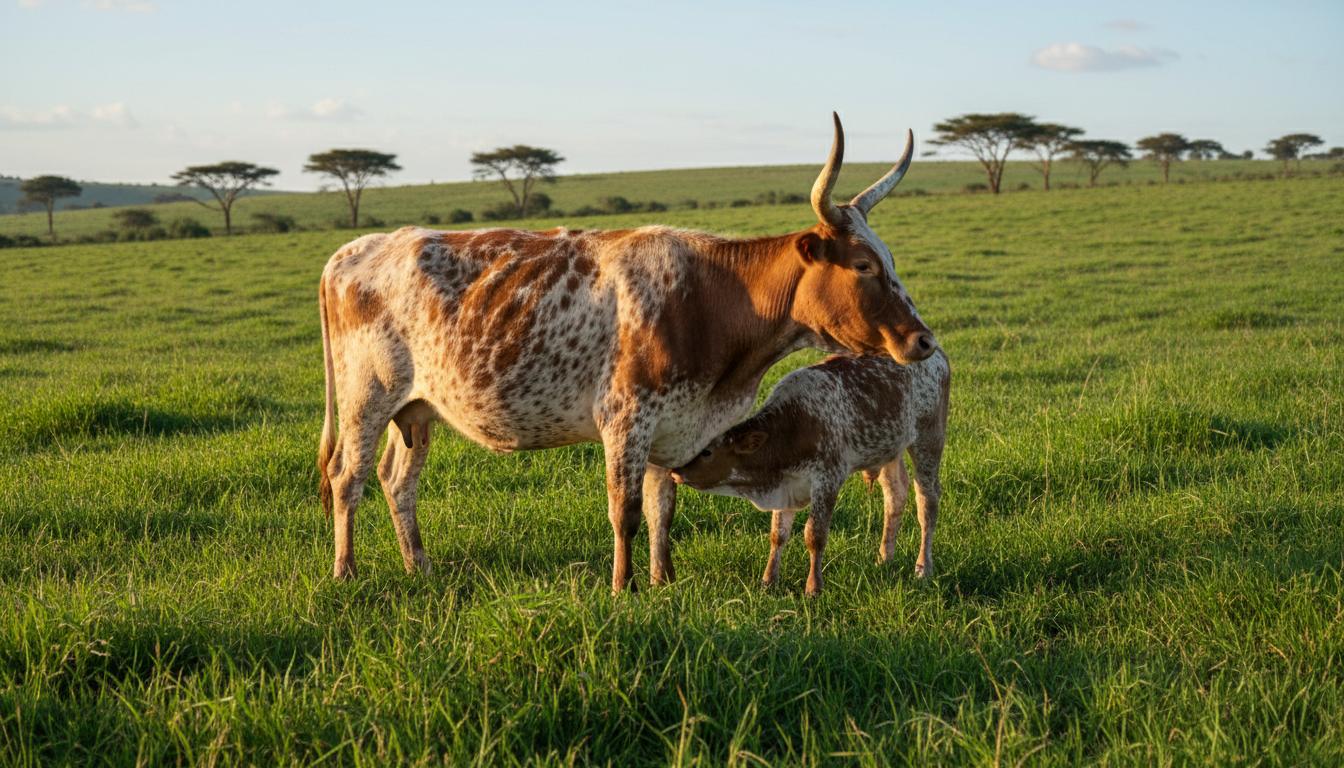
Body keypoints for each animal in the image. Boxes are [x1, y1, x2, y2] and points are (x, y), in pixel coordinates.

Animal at [669, 351, 950, 595]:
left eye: (707, 452)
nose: (676, 471)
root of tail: (938, 355)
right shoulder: (786, 486)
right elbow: (778, 534)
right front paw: (768, 580)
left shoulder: (828, 478)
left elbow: (814, 535)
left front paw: (813, 587)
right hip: (889, 450)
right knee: (895, 495)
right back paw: (884, 558)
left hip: (928, 440)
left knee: (927, 502)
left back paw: (923, 568)